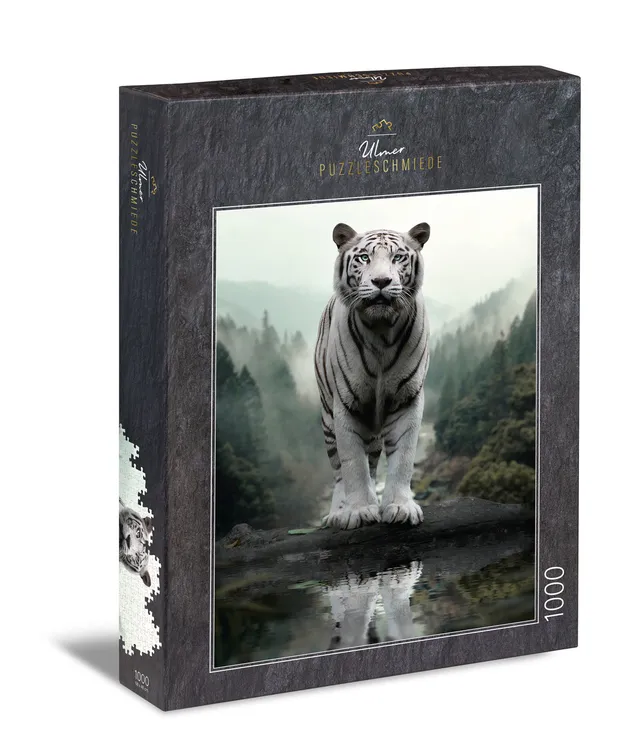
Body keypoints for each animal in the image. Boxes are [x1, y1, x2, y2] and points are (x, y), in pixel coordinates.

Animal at [314, 222, 431, 529]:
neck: (381, 330)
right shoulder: (346, 404)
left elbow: (403, 457)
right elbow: (352, 463)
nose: (381, 282)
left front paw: (400, 507)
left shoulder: (407, 399)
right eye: (364, 257)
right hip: (327, 419)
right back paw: (338, 512)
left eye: (398, 257)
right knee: (339, 470)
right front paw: (359, 511)